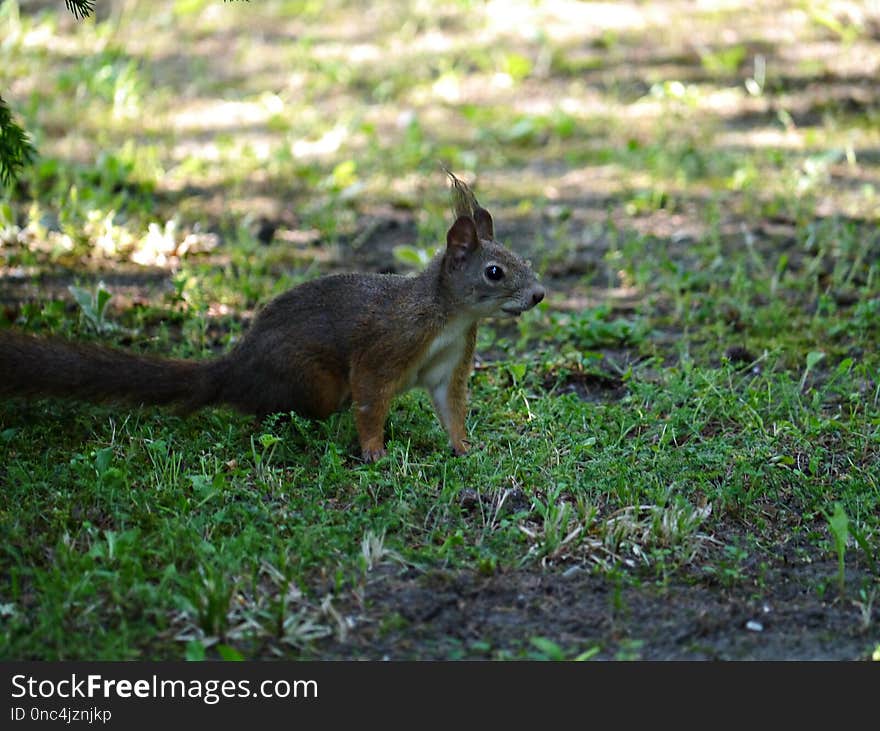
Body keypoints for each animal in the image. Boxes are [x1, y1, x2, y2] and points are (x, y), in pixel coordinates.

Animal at [0, 173, 548, 464]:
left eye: (523, 258)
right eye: (495, 272)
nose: (540, 294)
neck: (447, 317)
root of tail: (234, 368)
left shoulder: (450, 363)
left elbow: (451, 408)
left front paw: (464, 446)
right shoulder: (386, 345)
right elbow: (371, 399)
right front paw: (374, 452)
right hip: (314, 381)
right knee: (269, 410)